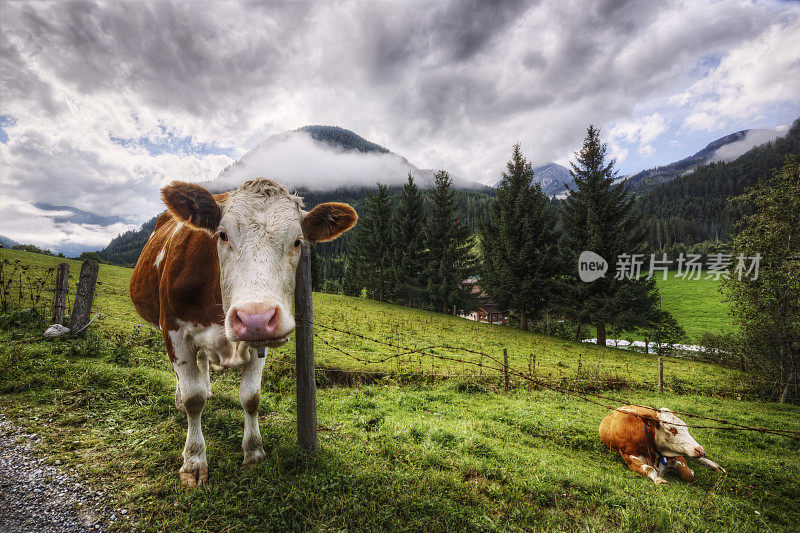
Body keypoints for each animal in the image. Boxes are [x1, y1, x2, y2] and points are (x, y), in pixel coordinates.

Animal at [130, 178, 356, 486]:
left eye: (298, 241)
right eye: (222, 235)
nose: (255, 317)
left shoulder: (260, 341)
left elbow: (251, 398)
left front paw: (254, 452)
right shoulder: (175, 332)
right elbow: (192, 400)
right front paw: (194, 461)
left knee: (203, 363)